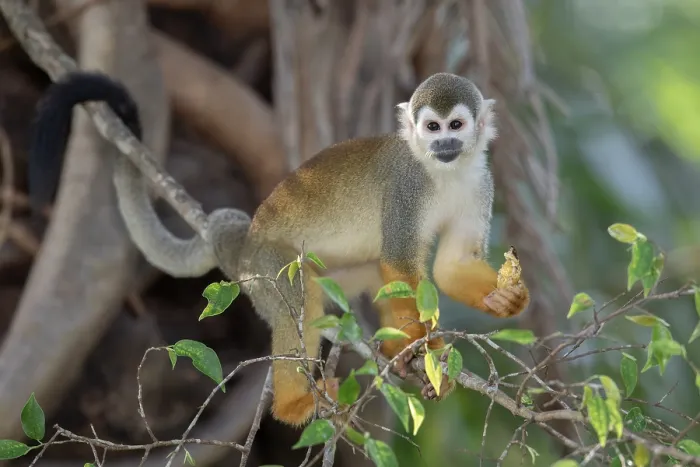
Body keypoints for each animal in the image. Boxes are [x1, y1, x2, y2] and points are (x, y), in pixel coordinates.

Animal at [29, 71, 529, 428]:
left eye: (456, 126)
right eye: (431, 127)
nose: (443, 143)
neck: (443, 171)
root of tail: (245, 241)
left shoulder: (480, 182)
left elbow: (448, 268)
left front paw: (504, 297)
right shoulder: (407, 186)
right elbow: (400, 261)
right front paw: (431, 352)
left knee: (369, 276)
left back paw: (395, 353)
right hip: (264, 272)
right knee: (301, 301)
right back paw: (296, 403)